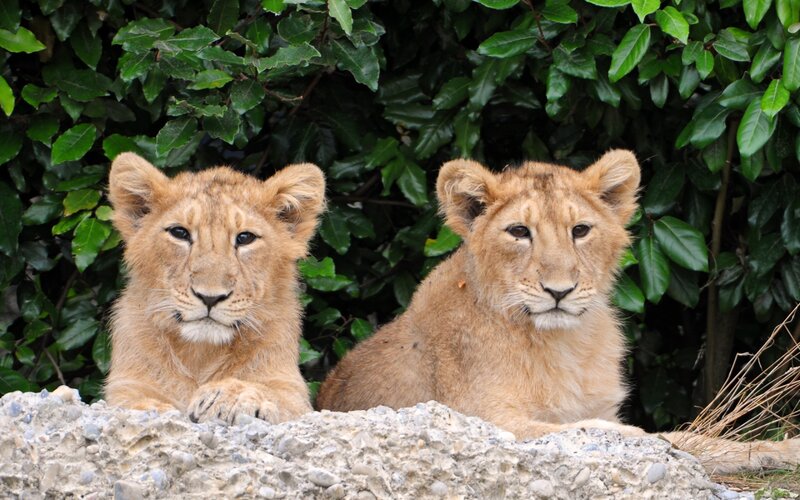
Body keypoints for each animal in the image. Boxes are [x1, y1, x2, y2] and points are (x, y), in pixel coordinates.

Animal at [105, 152, 325, 424]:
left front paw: (231, 396)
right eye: (179, 232)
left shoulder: (291, 390)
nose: (210, 297)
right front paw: (152, 410)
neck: (201, 353)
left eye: (245, 238)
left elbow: (269, 391)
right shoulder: (126, 385)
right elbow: (130, 403)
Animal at [317, 150, 800, 473]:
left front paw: (781, 450)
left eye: (580, 230)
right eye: (518, 232)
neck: (562, 344)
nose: (559, 291)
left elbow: (693, 438)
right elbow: (599, 432)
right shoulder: (484, 419)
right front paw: (643, 439)